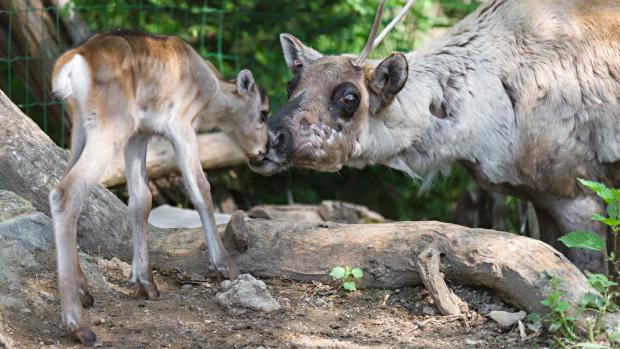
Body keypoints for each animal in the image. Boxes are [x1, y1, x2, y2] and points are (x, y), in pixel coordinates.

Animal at [50, 30, 268, 346]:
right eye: (263, 113)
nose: (264, 150)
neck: (209, 93)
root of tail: (71, 63)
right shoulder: (181, 123)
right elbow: (200, 188)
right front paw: (225, 267)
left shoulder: (140, 134)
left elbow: (142, 199)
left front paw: (144, 282)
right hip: (113, 123)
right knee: (65, 192)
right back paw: (78, 325)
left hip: (81, 124)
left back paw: (85, 291)